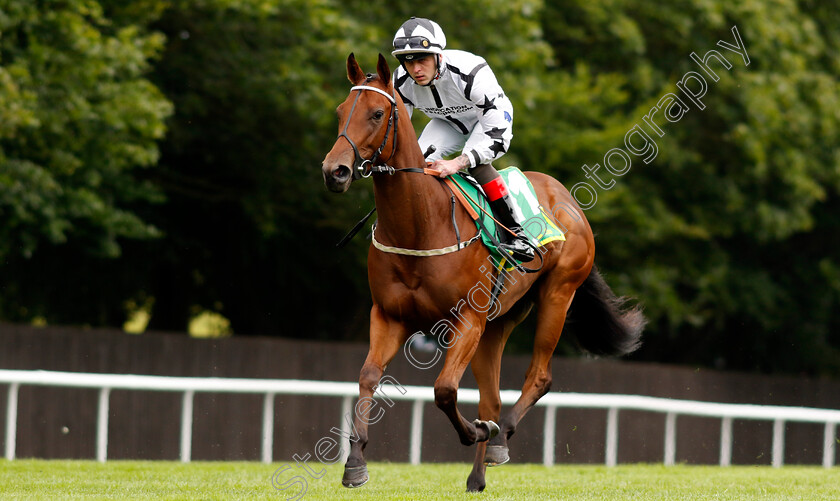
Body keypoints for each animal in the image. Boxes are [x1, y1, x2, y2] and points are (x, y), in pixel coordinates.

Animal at [322, 53, 644, 492]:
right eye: (341, 112)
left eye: (376, 113)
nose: (334, 171)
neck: (420, 224)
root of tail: (566, 199)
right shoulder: (389, 316)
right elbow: (368, 376)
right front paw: (355, 462)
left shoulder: (466, 320)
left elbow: (444, 390)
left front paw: (477, 432)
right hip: (498, 323)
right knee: (491, 397)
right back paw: (478, 473)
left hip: (557, 296)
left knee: (538, 377)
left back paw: (498, 437)